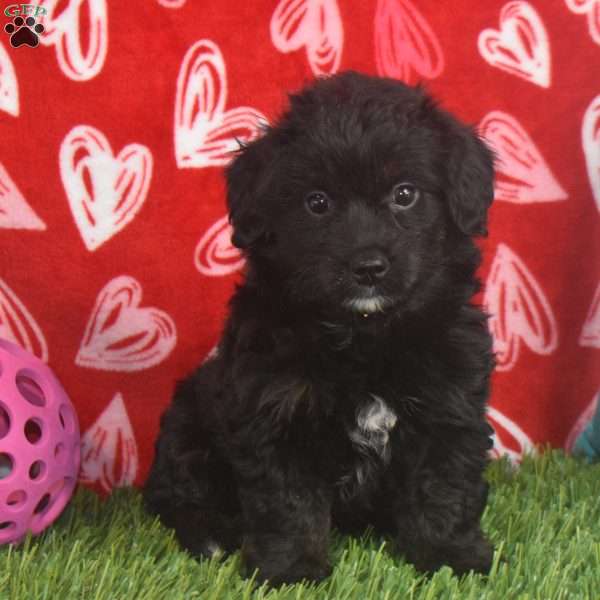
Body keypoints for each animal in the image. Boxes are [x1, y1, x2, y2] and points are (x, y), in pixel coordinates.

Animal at [143, 71, 494, 584]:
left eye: (405, 194)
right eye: (317, 202)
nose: (368, 267)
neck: (363, 335)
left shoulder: (448, 405)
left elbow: (443, 487)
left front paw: (450, 556)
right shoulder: (275, 409)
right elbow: (287, 501)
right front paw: (291, 569)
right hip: (188, 425)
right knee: (176, 497)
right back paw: (212, 535)